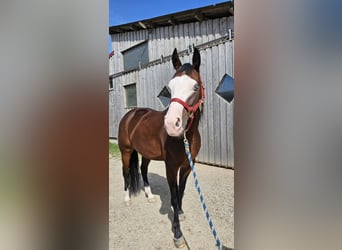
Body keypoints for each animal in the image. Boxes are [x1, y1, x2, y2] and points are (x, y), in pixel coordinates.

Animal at [118, 47, 203, 248]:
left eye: (195, 87)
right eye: (170, 88)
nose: (172, 125)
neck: (186, 137)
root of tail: (130, 114)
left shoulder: (187, 167)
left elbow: (181, 192)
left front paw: (179, 212)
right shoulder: (171, 167)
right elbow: (173, 196)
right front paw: (178, 234)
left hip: (146, 154)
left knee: (143, 170)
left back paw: (149, 196)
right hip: (126, 151)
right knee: (126, 173)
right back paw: (127, 199)